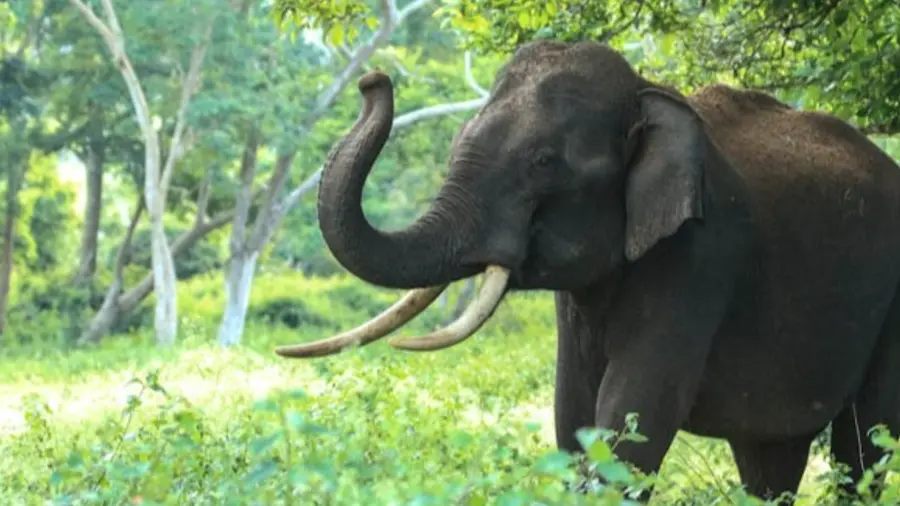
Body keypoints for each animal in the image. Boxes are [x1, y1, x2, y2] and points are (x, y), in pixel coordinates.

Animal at [275, 40, 900, 503]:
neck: (648, 92)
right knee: (770, 457)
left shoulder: (700, 257)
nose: (372, 80)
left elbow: (633, 417)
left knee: (864, 443)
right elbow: (574, 415)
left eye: (543, 162)